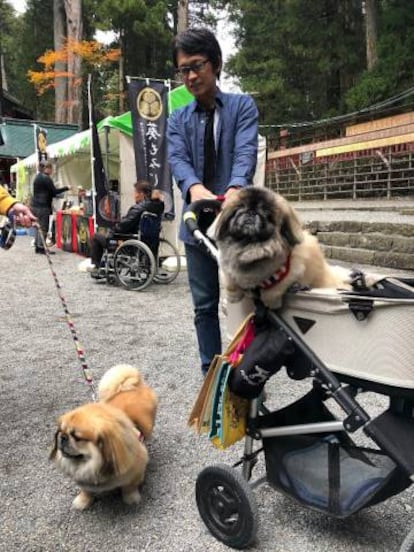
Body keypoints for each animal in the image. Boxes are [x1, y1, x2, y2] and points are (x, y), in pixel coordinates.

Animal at [50, 364, 157, 512]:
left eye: (76, 437)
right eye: (60, 431)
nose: (63, 437)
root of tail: (134, 385)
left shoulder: (136, 469)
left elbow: (129, 487)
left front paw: (131, 498)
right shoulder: (84, 479)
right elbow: (86, 490)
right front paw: (83, 501)